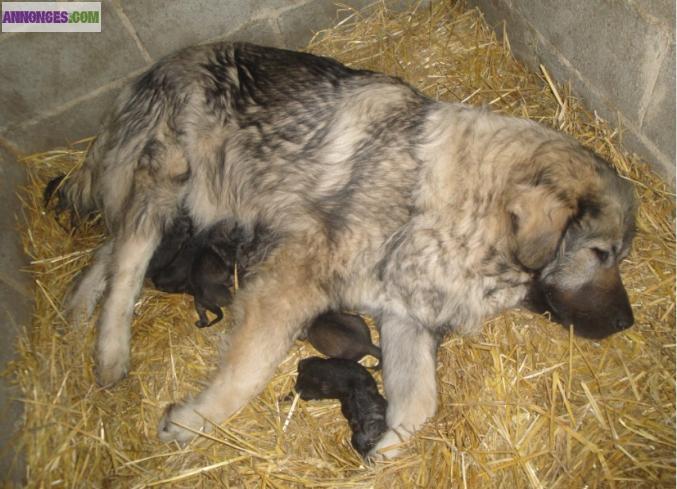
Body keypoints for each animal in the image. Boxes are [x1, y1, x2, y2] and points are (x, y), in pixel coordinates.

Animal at [52, 42, 632, 458]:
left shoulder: (405, 315)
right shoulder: (290, 284)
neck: (464, 208)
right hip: (169, 181)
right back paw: (110, 351)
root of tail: (156, 69)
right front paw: (197, 419)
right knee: (128, 262)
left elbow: (421, 403)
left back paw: (78, 307)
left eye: (618, 256)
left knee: (111, 247)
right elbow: (247, 370)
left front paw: (385, 445)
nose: (628, 323)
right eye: (601, 253)